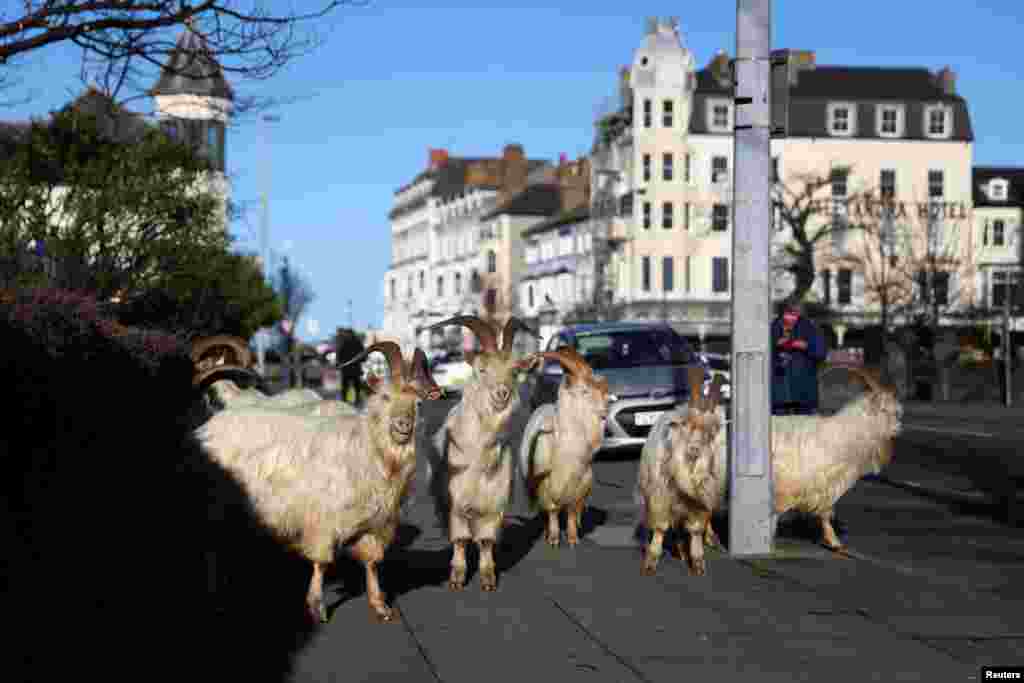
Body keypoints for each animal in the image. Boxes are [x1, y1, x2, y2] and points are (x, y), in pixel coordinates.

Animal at [195, 342, 442, 624]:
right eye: (385, 397)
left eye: (418, 403)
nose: (403, 425)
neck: (367, 448)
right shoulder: (323, 520)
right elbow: (321, 563)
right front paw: (317, 607)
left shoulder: (376, 524)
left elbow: (371, 563)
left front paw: (379, 605)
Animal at [426, 314, 539, 592]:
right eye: (481, 369)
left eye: (514, 371)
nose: (502, 393)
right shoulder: (456, 503)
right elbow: (460, 539)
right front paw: (457, 577)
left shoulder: (494, 503)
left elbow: (486, 541)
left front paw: (488, 578)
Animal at [519, 346, 610, 547]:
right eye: (584, 390)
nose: (605, 411)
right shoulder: (544, 483)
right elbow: (552, 510)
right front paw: (553, 539)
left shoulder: (580, 483)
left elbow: (571, 511)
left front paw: (573, 538)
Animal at [636, 366, 901, 577]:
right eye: (886, 410)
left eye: (897, 411)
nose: (899, 428)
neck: (844, 435)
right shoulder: (809, 485)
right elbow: (824, 514)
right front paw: (834, 543)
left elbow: (823, 514)